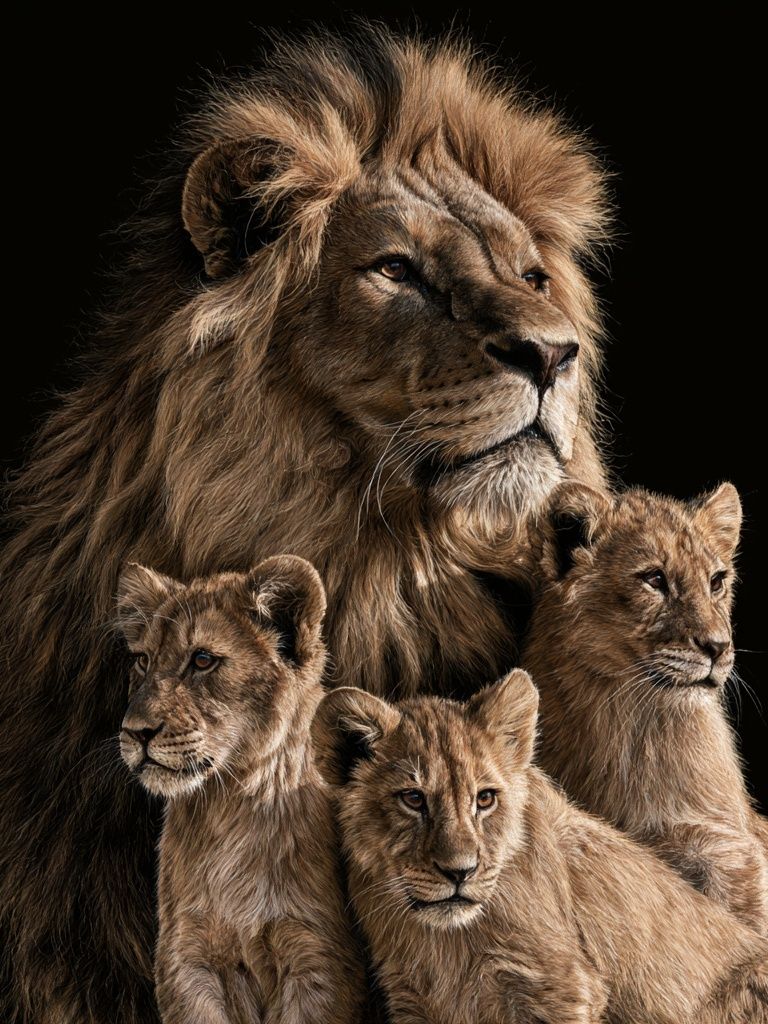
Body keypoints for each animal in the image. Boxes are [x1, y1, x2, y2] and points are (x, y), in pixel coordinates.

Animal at [117, 554, 365, 1024]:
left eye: (202, 660)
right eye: (142, 661)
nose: (136, 732)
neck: (230, 808)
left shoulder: (318, 959)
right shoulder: (188, 959)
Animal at [312, 670, 768, 1024]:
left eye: (485, 799)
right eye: (412, 799)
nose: (460, 872)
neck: (445, 942)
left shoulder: (563, 985)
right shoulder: (411, 996)